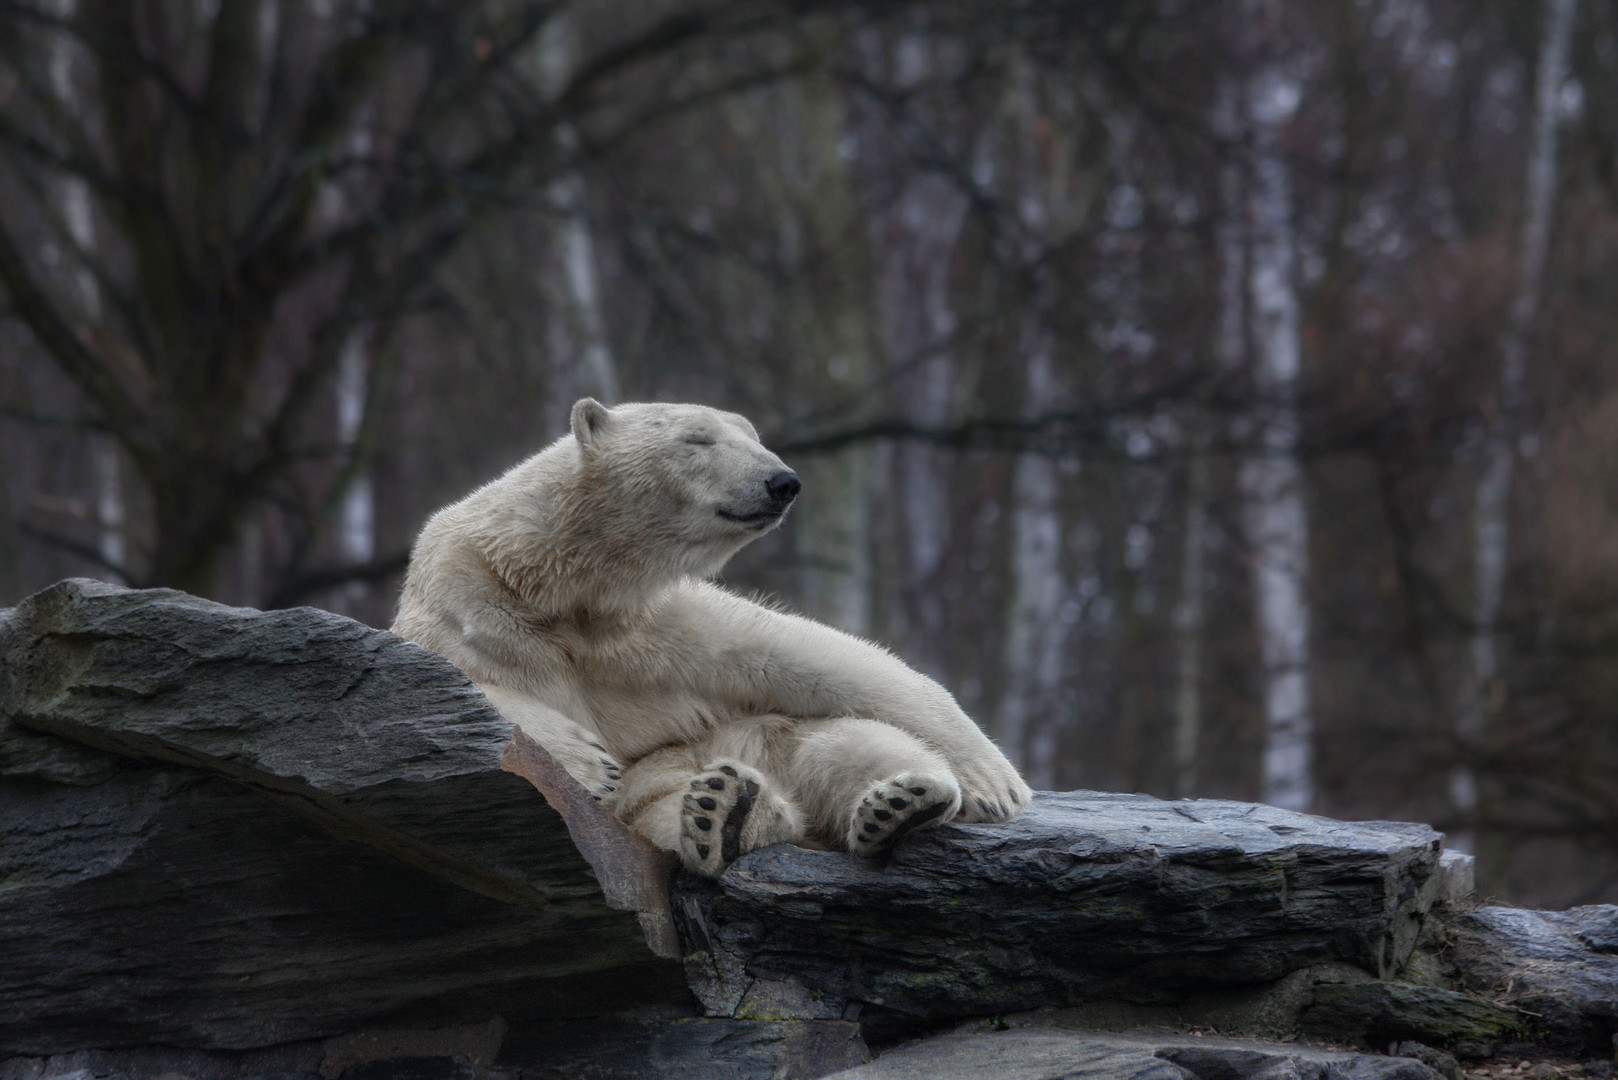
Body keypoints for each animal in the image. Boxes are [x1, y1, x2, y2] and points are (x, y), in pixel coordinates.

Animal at [394, 401, 1022, 874]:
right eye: (697, 439)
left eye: (754, 438)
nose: (782, 481)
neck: (558, 591)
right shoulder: (465, 608)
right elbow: (443, 688)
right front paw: (587, 760)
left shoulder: (653, 630)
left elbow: (809, 658)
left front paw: (996, 783)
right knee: (659, 805)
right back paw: (722, 813)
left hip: (747, 737)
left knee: (833, 742)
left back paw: (897, 803)